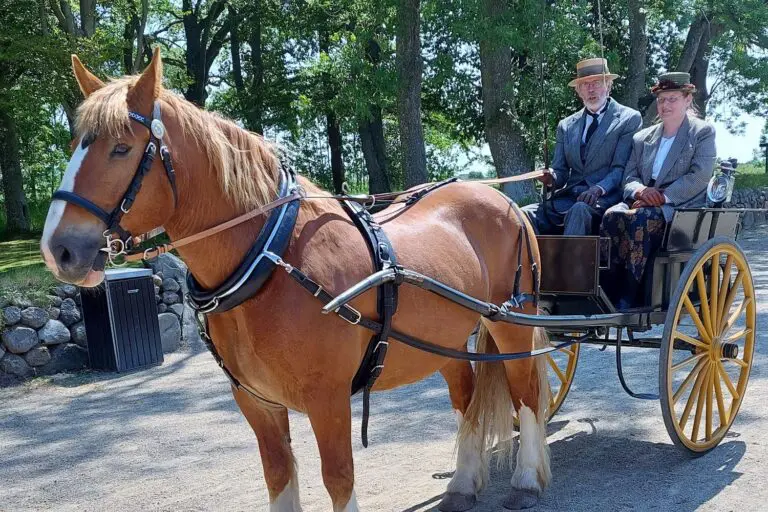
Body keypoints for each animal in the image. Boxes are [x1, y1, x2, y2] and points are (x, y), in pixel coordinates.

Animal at [40, 47, 551, 512]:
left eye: (121, 147)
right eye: (75, 145)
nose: (58, 249)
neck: (272, 258)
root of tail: (501, 200)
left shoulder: (328, 400)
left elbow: (339, 478)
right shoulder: (257, 402)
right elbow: (278, 474)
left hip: (511, 324)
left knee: (525, 393)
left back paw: (527, 479)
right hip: (444, 341)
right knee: (465, 398)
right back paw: (463, 482)